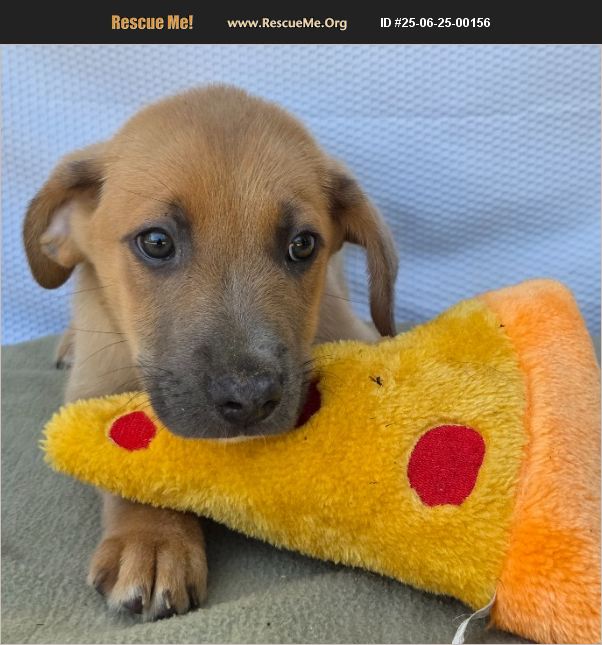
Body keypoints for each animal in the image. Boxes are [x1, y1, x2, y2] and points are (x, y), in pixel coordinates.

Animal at [23, 85, 398, 620]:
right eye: (157, 241)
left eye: (303, 245)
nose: (250, 400)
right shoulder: (92, 389)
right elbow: (124, 458)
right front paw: (153, 539)